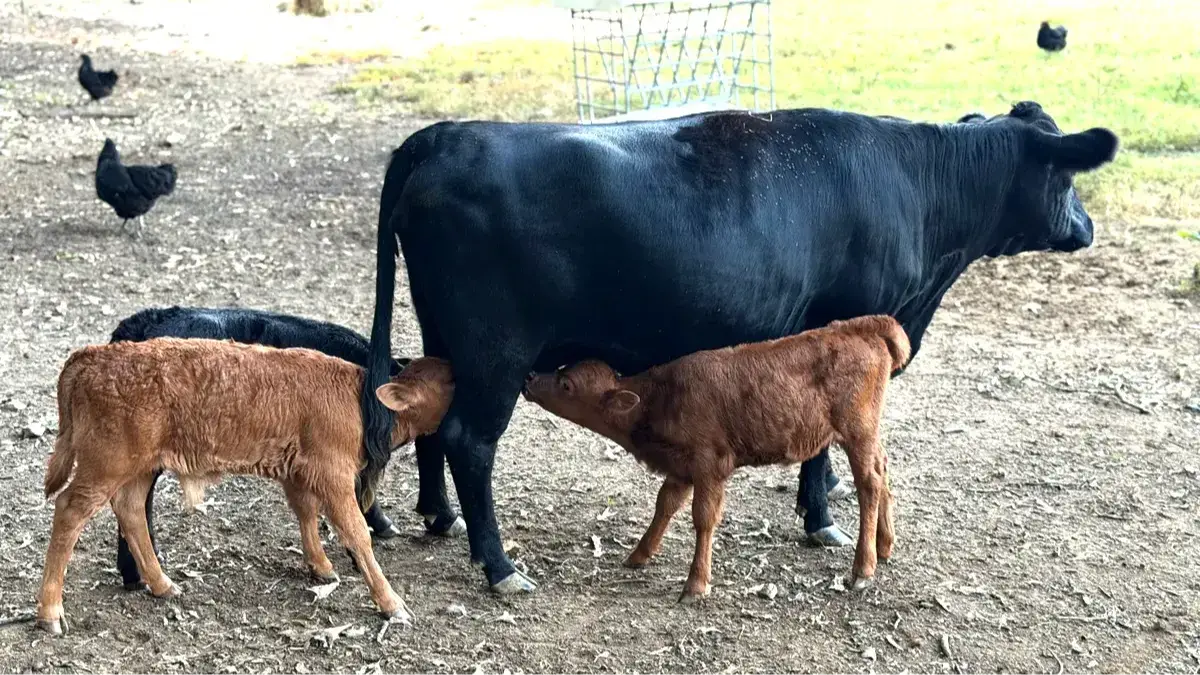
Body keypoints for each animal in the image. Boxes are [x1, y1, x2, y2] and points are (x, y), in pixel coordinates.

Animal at [360, 100, 1118, 593]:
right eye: (1066, 176)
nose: (1087, 227)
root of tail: (443, 135)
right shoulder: (841, 324)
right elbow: (821, 441)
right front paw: (821, 518)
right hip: (496, 348)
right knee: (469, 438)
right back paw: (498, 564)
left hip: (448, 336)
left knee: (433, 418)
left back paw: (441, 517)